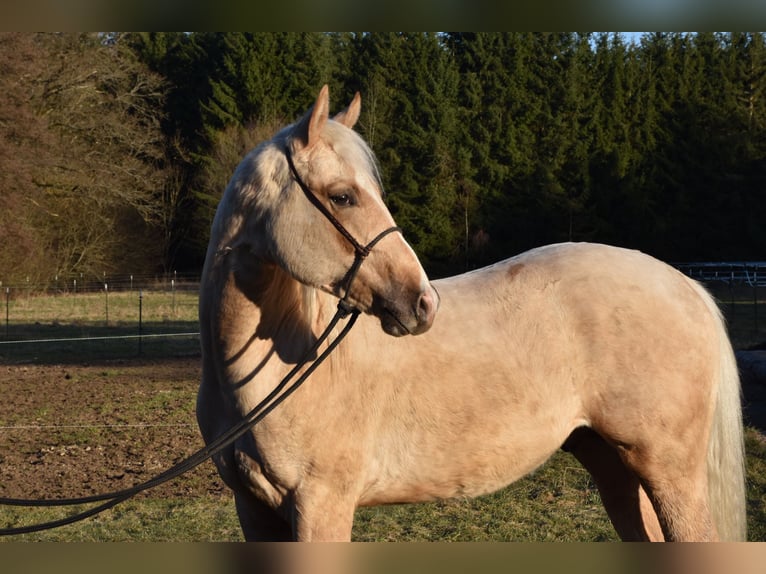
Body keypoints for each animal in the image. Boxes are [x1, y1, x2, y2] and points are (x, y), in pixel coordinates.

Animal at [197, 85, 746, 542]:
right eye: (343, 196)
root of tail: (685, 284)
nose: (422, 303)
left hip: (668, 471)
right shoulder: (255, 512)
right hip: (614, 467)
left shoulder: (321, 504)